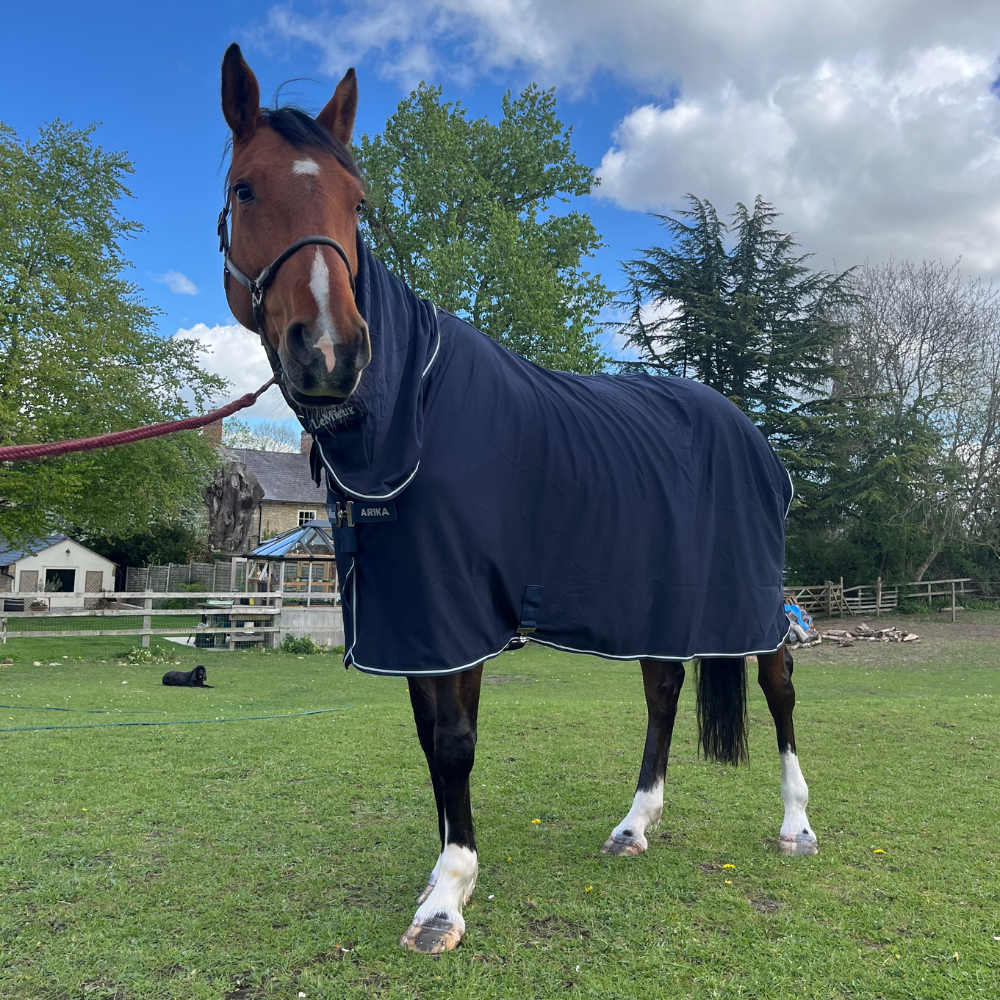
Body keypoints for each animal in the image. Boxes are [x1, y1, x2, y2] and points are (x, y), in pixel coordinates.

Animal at [217, 43, 817, 955]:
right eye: (247, 188)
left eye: (357, 202)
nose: (329, 353)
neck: (415, 413)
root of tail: (747, 431)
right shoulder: (413, 621)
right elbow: (430, 744)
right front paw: (447, 870)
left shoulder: (456, 613)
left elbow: (455, 744)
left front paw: (445, 899)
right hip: (663, 601)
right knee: (663, 690)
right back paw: (634, 825)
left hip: (750, 594)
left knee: (778, 683)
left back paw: (795, 826)